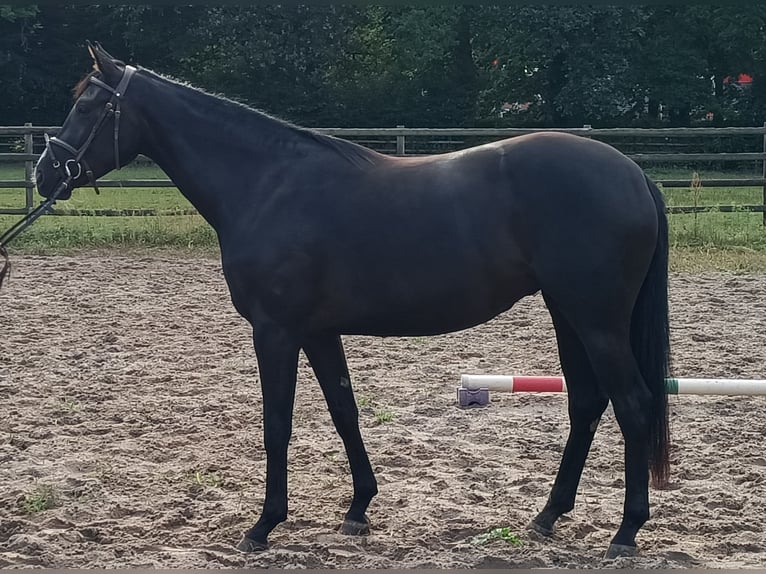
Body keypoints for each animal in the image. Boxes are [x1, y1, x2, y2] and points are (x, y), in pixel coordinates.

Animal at [33, 42, 672, 559]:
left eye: (87, 106)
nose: (44, 173)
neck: (268, 184)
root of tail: (634, 174)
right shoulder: (317, 331)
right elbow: (344, 410)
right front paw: (359, 508)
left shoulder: (275, 330)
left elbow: (277, 423)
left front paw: (264, 525)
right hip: (569, 314)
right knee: (587, 402)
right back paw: (548, 516)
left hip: (597, 320)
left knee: (634, 404)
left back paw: (625, 532)